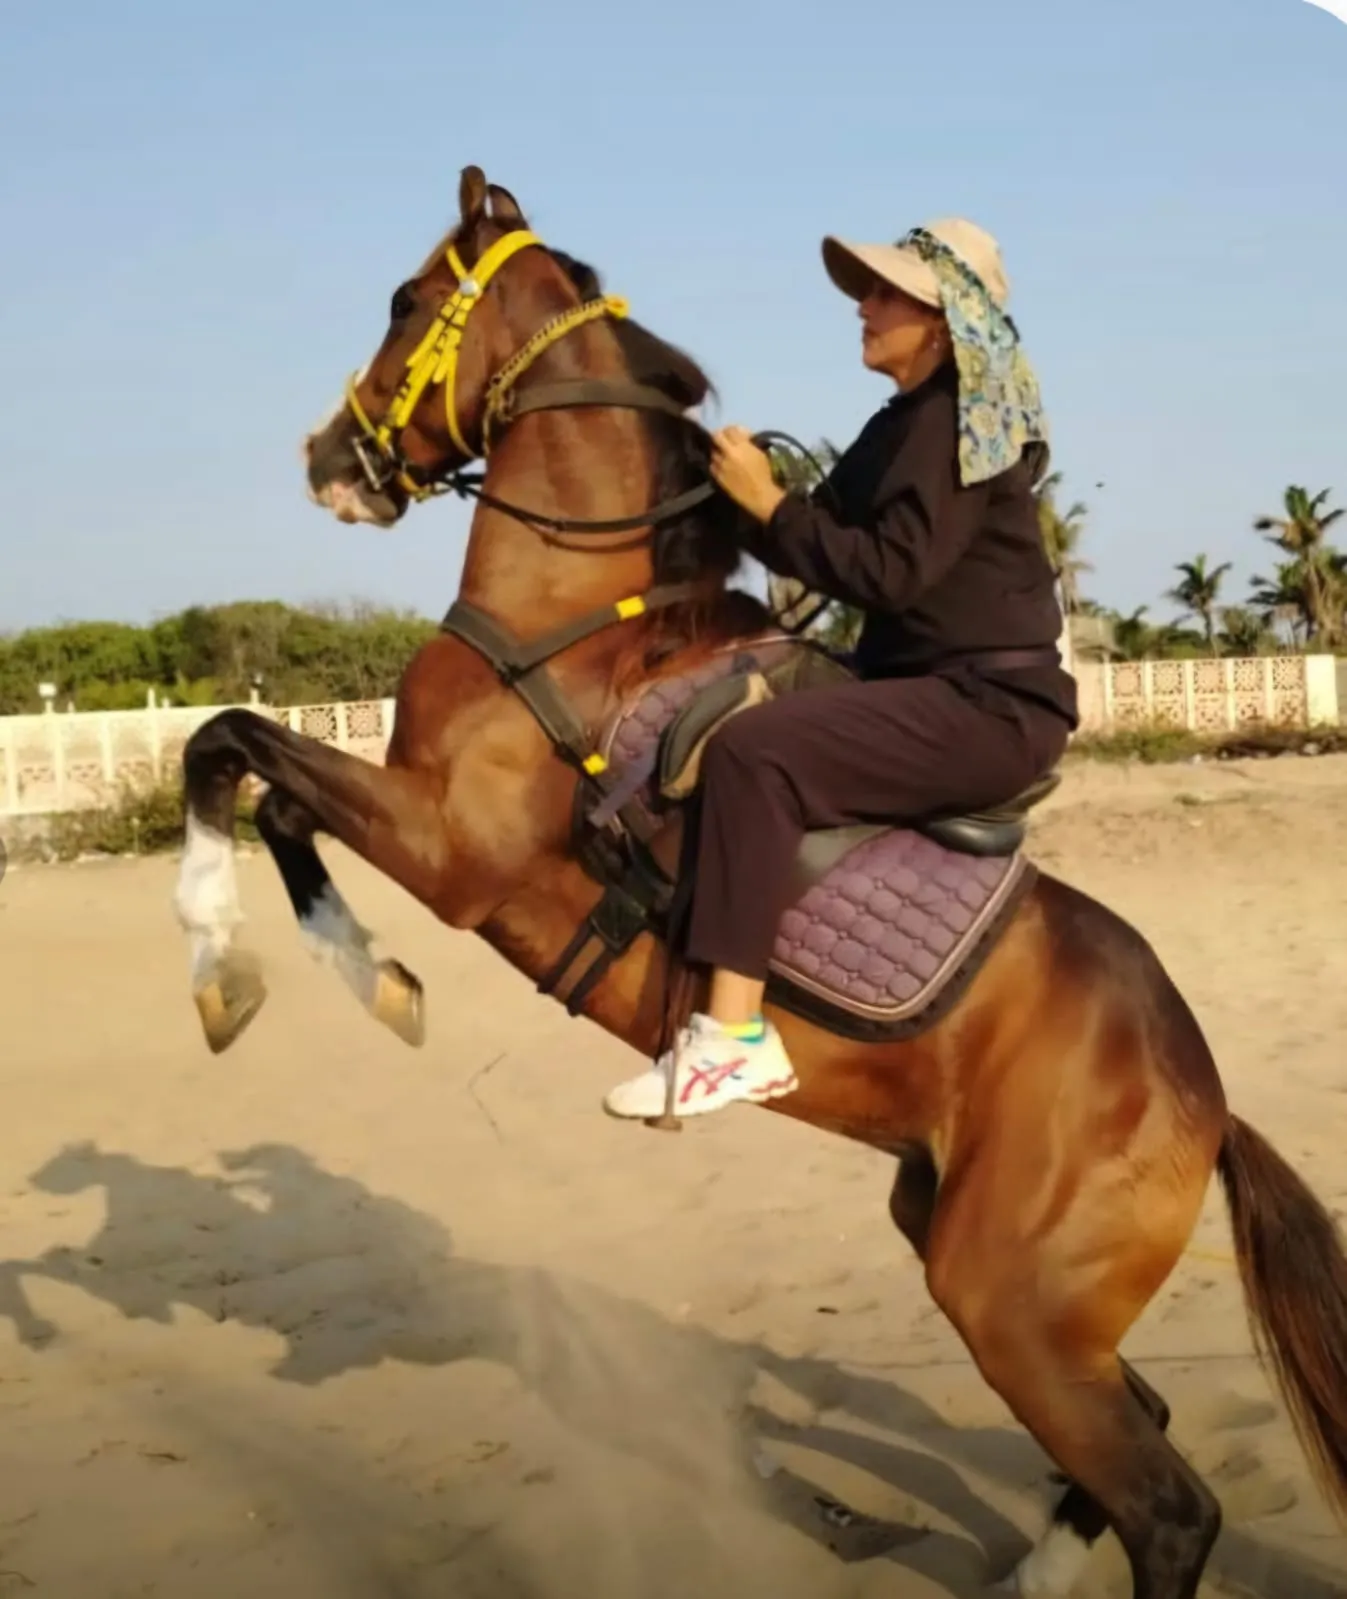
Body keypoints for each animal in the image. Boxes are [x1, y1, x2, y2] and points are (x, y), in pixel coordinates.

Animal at [173, 164, 1347, 1598]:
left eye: (404, 299)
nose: (325, 459)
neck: (582, 619)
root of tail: (1205, 1096)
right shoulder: (409, 818)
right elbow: (269, 788)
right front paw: (369, 981)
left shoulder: (450, 851)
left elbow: (224, 741)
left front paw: (232, 972)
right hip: (987, 1261)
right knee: (1144, 1432)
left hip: (1004, 1300)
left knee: (1169, 1505)